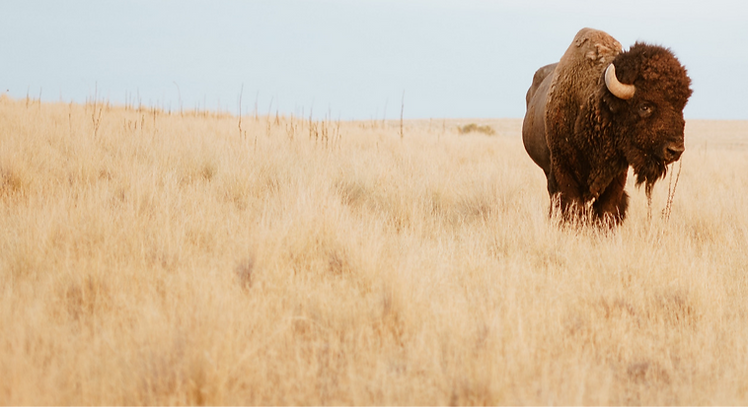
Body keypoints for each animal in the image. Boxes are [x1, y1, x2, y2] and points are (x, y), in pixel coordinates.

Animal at [522, 28, 692, 225]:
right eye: (644, 106)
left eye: (681, 106)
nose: (675, 150)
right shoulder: (563, 170)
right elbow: (573, 207)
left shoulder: (616, 175)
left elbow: (607, 209)